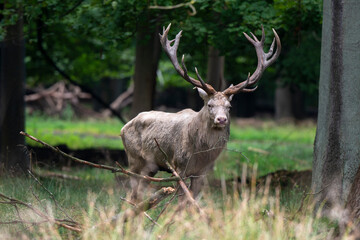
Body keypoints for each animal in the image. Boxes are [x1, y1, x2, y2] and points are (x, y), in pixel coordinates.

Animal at [121, 23, 282, 202]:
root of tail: (123, 127)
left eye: (229, 107)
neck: (200, 154)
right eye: (209, 105)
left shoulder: (203, 172)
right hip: (134, 159)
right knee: (132, 191)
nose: (221, 119)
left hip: (151, 166)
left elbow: (190, 201)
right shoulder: (179, 166)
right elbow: (179, 199)